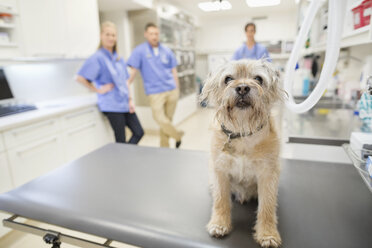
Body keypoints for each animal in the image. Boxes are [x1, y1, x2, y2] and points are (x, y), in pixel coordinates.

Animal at [201, 59, 284, 247]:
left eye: (258, 79)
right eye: (228, 79)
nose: (243, 88)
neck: (243, 132)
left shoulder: (268, 176)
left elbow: (267, 207)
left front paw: (267, 234)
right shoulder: (220, 172)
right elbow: (220, 200)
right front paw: (219, 223)